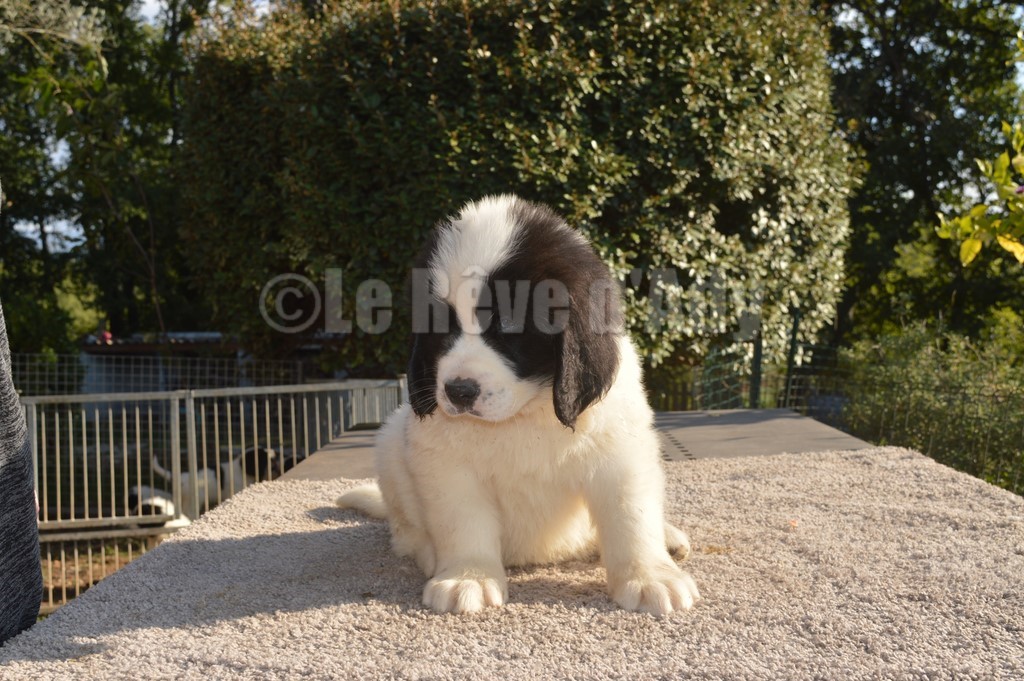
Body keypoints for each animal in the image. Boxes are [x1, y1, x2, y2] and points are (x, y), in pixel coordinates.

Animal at [337, 195, 700, 615]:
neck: (527, 412)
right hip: (391, 441)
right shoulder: (446, 465)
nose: (458, 391)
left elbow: (631, 516)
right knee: (403, 528)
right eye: (440, 326)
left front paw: (649, 577)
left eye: (508, 325)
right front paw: (468, 576)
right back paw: (427, 552)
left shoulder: (619, 451)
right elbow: (463, 522)